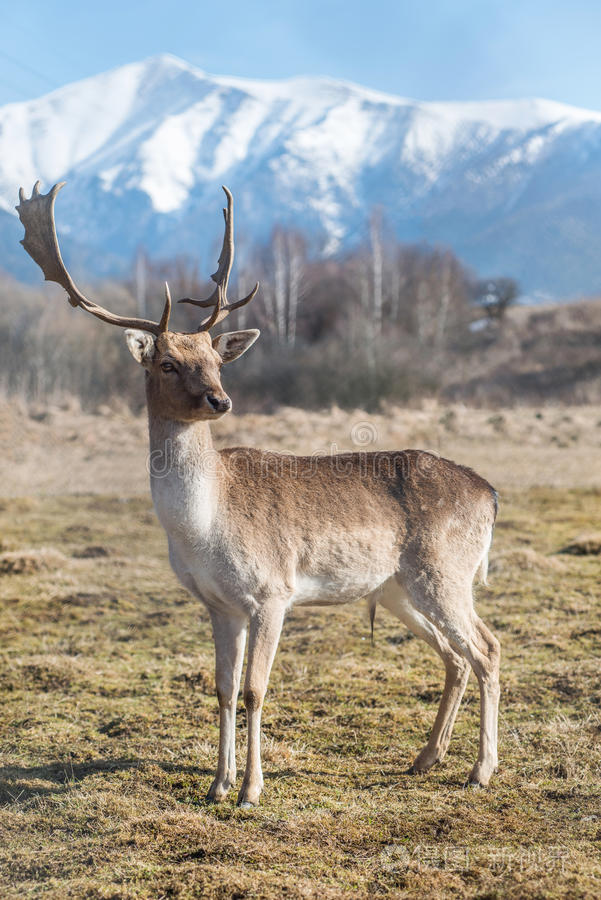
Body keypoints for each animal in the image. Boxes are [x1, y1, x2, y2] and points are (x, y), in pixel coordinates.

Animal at [17, 181, 500, 807]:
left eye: (216, 360)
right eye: (167, 362)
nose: (220, 400)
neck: (203, 528)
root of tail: (490, 493)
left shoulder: (273, 591)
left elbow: (254, 690)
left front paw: (250, 788)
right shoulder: (217, 603)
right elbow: (221, 689)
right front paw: (217, 784)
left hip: (444, 571)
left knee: (486, 649)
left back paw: (481, 770)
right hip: (397, 588)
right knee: (455, 657)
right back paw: (425, 759)